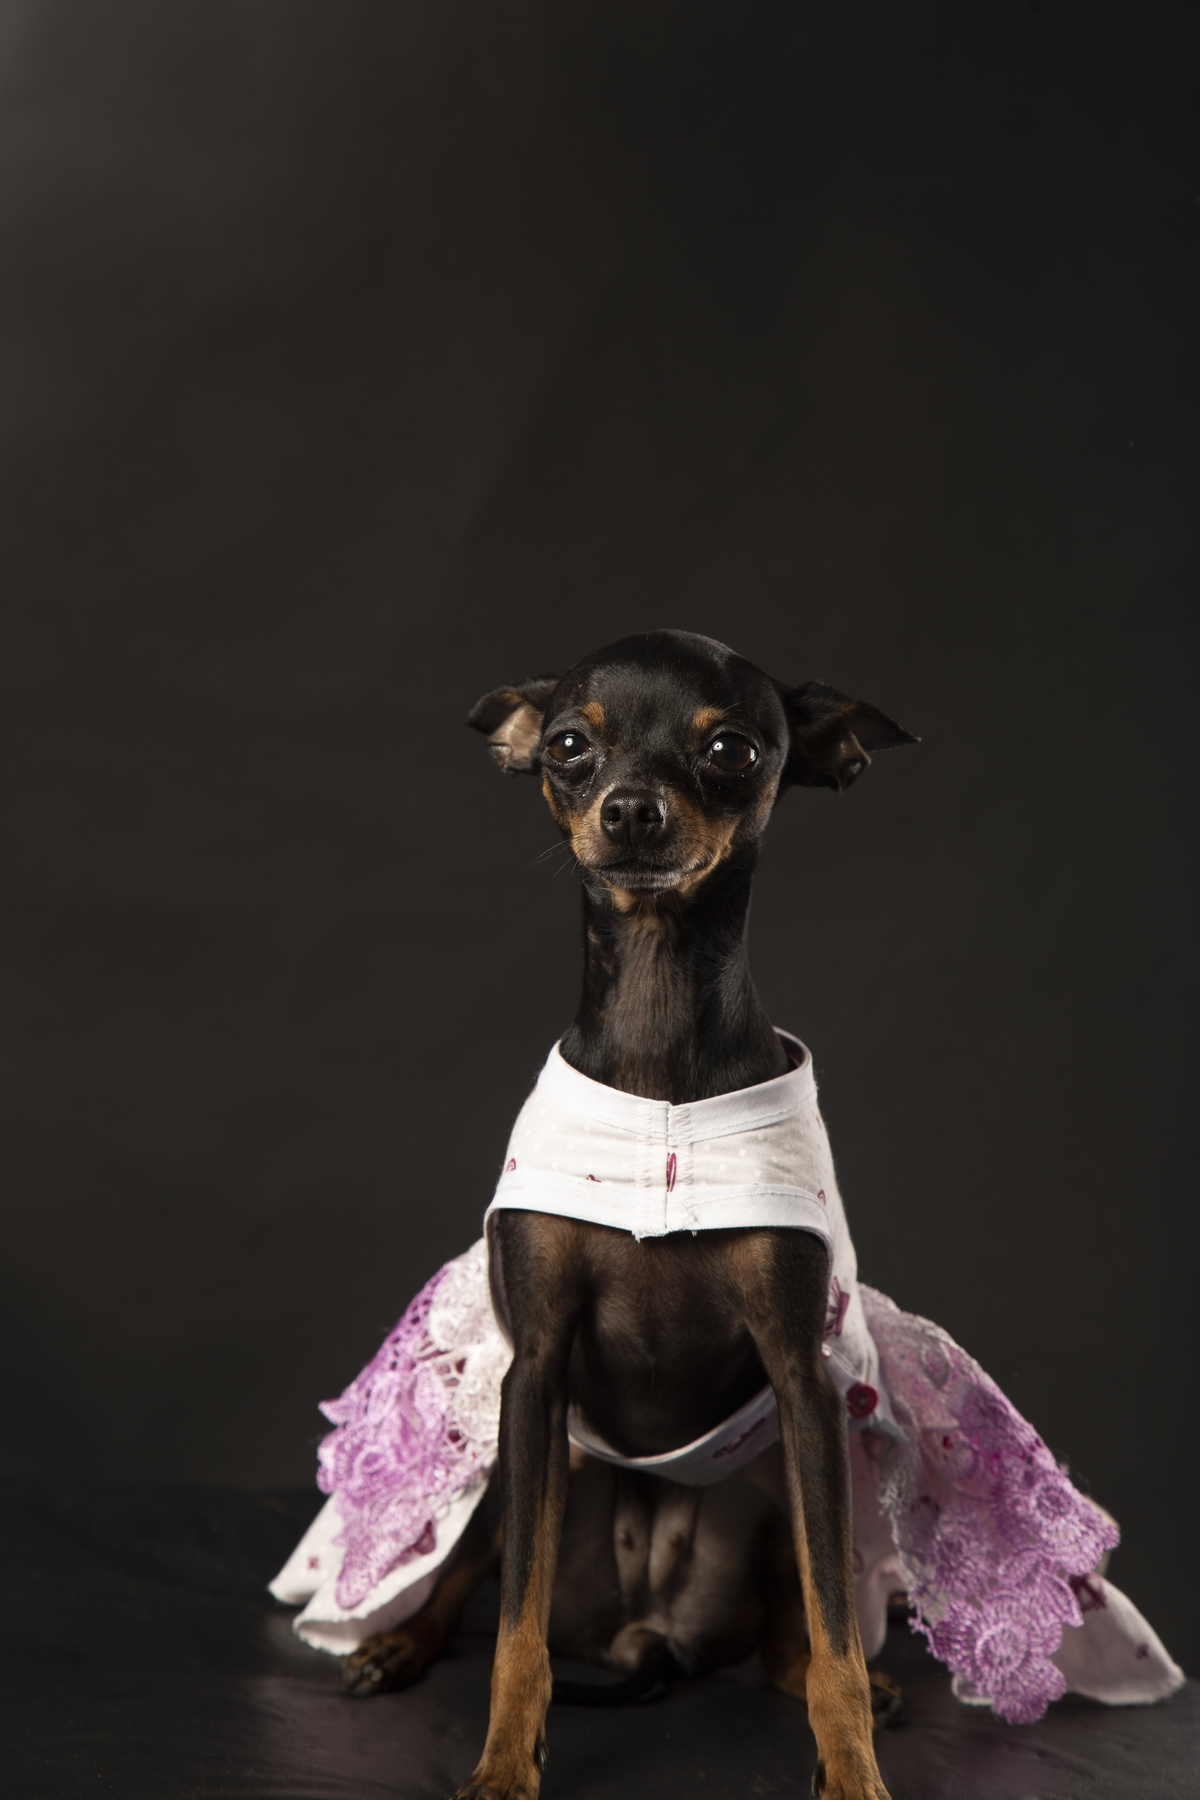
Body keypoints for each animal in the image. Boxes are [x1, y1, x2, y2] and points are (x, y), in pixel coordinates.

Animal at [345, 629, 917, 1800]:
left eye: (732, 749)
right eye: (571, 745)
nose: (631, 810)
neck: (657, 1031)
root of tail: (642, 1633)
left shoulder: (804, 1383)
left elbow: (837, 1627)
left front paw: (854, 1770)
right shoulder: (535, 1371)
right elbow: (514, 1630)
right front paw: (503, 1766)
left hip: (777, 1481)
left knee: (795, 1642)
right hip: (525, 1468)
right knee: (469, 1578)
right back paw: (393, 1645)